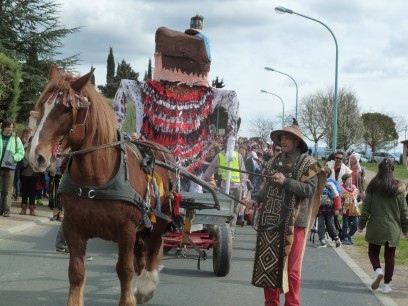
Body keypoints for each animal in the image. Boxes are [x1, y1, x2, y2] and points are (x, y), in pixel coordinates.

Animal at [27, 65, 175, 306]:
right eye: (42, 106)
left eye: (66, 109)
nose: (35, 156)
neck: (96, 179)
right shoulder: (73, 227)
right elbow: (76, 272)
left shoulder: (126, 230)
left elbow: (124, 270)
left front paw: (130, 298)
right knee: (142, 253)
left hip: (160, 216)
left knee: (153, 248)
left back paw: (146, 286)